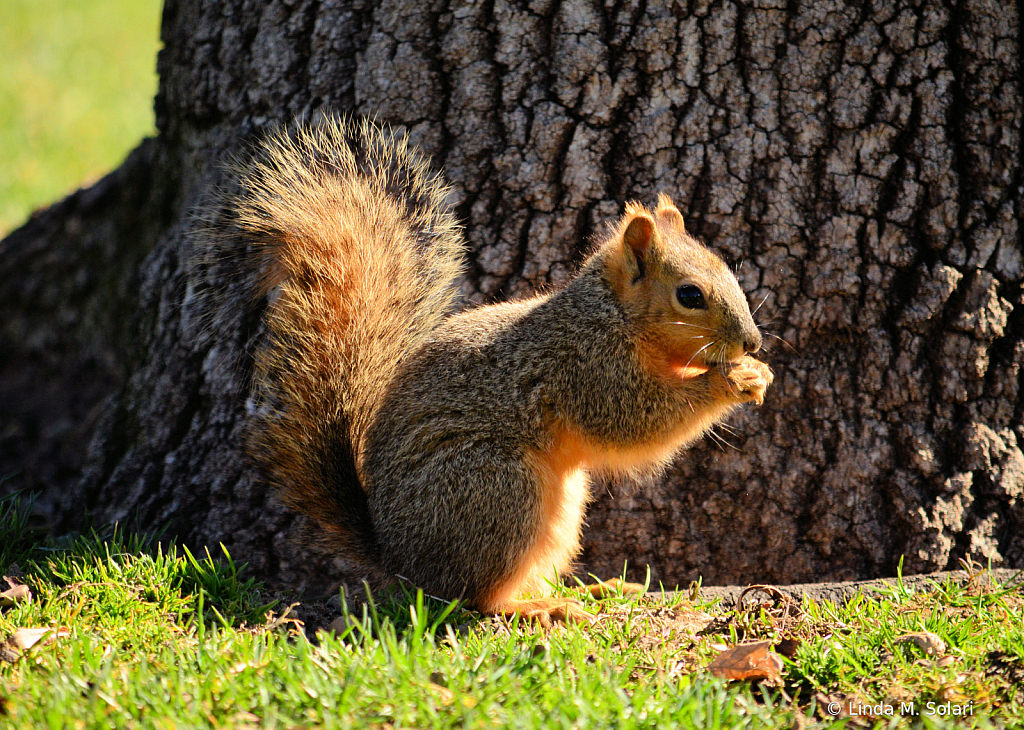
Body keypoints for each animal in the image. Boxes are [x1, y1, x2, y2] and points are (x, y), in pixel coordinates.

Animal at [216, 116, 774, 622]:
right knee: (472, 597)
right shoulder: (585, 367)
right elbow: (636, 421)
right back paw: (536, 606)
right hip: (498, 488)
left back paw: (596, 589)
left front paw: (756, 369)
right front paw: (732, 379)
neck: (614, 316)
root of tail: (400, 558)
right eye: (690, 295)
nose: (752, 341)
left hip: (559, 507)